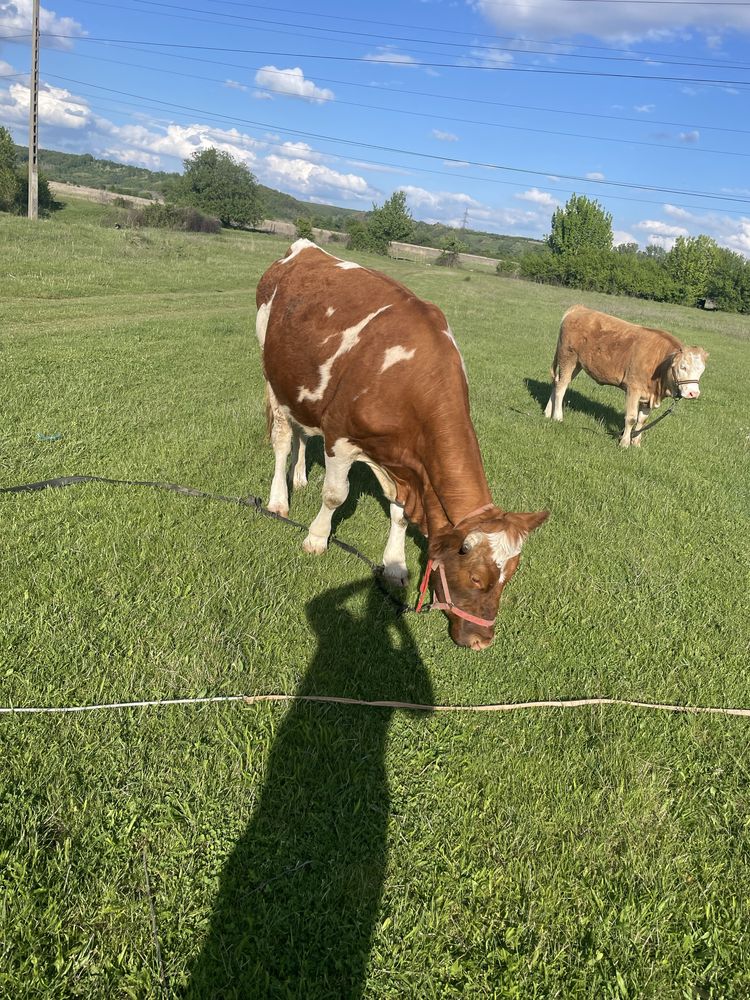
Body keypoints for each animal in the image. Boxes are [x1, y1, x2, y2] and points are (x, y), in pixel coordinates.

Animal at [256, 240, 548, 648]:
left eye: (511, 575)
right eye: (477, 578)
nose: (482, 641)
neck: (409, 381)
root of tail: (305, 248)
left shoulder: (405, 464)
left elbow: (399, 513)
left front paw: (395, 565)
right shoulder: (340, 437)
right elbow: (335, 495)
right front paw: (316, 537)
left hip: (301, 388)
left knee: (301, 432)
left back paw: (298, 477)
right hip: (272, 375)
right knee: (283, 439)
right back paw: (279, 499)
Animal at [548, 302, 712, 448]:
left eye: (701, 370)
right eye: (682, 367)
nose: (693, 393)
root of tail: (579, 308)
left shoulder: (648, 396)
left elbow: (642, 420)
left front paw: (636, 443)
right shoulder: (634, 389)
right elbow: (631, 418)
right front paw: (624, 443)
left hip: (576, 364)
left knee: (557, 382)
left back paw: (548, 412)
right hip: (568, 357)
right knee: (562, 386)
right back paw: (557, 417)